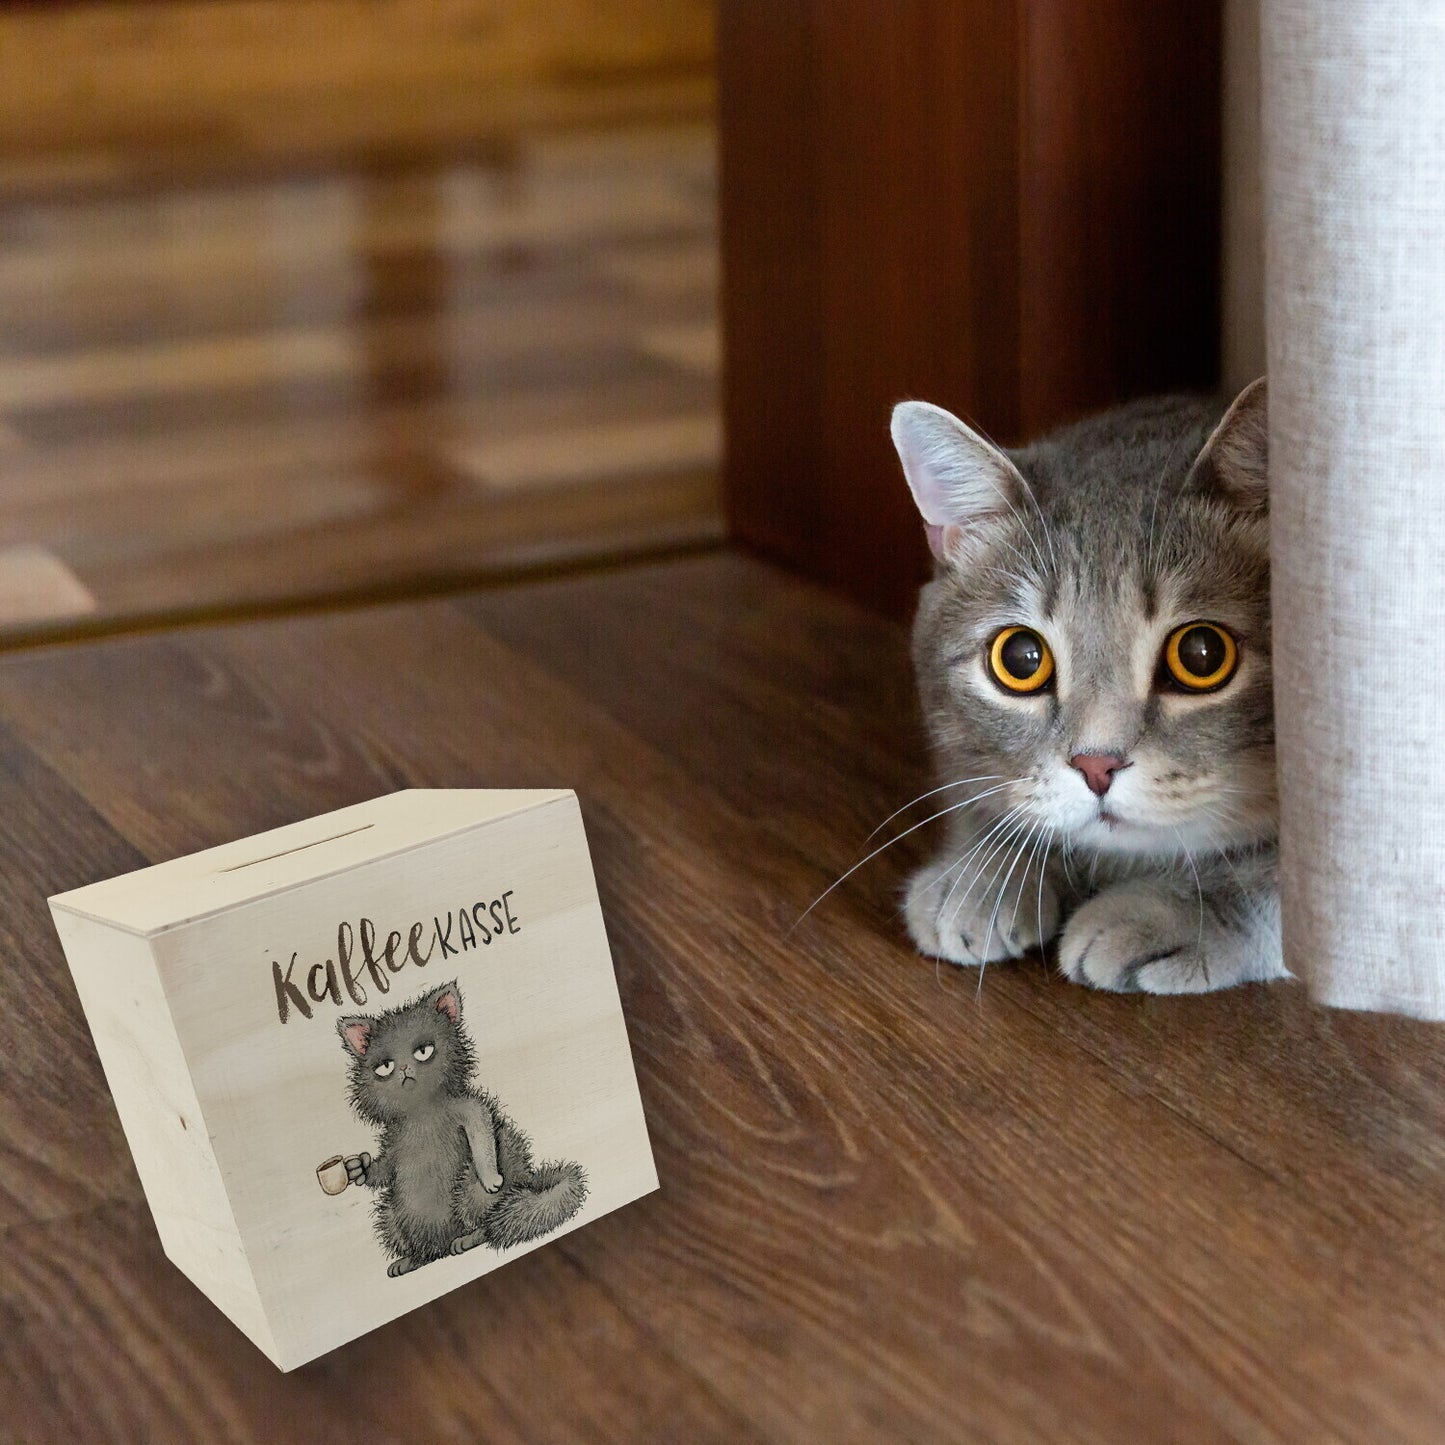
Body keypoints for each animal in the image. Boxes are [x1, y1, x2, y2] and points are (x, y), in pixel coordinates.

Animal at [339, 982, 586, 1277]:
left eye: (424, 1051)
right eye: (385, 1066)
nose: (404, 1068)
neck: (422, 1110)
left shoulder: (467, 1109)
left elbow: (482, 1129)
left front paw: (490, 1175)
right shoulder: (394, 1138)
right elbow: (386, 1167)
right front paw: (360, 1168)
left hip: (473, 1190)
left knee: (484, 1213)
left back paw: (472, 1235)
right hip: (392, 1213)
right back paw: (413, 1259)